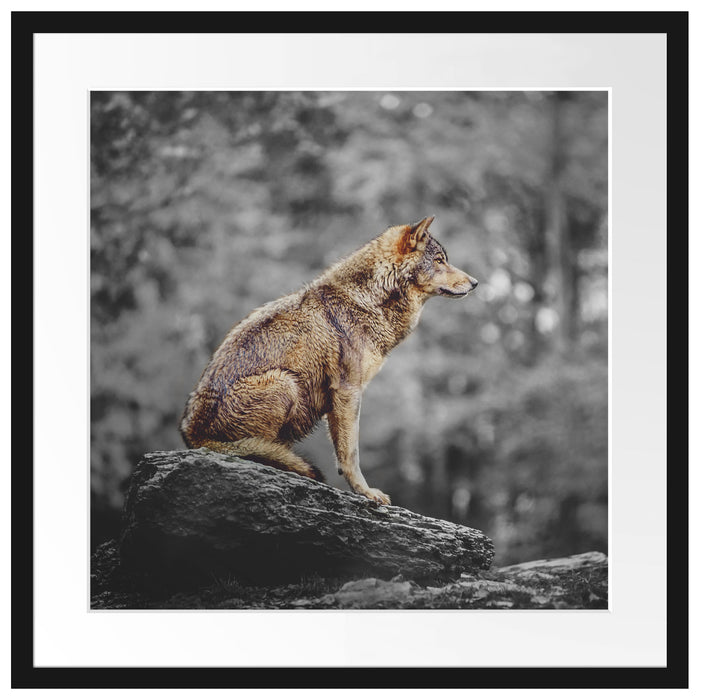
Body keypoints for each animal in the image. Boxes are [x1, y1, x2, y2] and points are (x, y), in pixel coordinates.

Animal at [180, 216, 478, 505]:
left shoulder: (340, 399)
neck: (368, 300)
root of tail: (192, 434)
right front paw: (366, 493)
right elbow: (350, 453)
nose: (475, 283)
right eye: (439, 260)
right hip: (285, 382)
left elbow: (344, 451)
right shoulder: (348, 391)